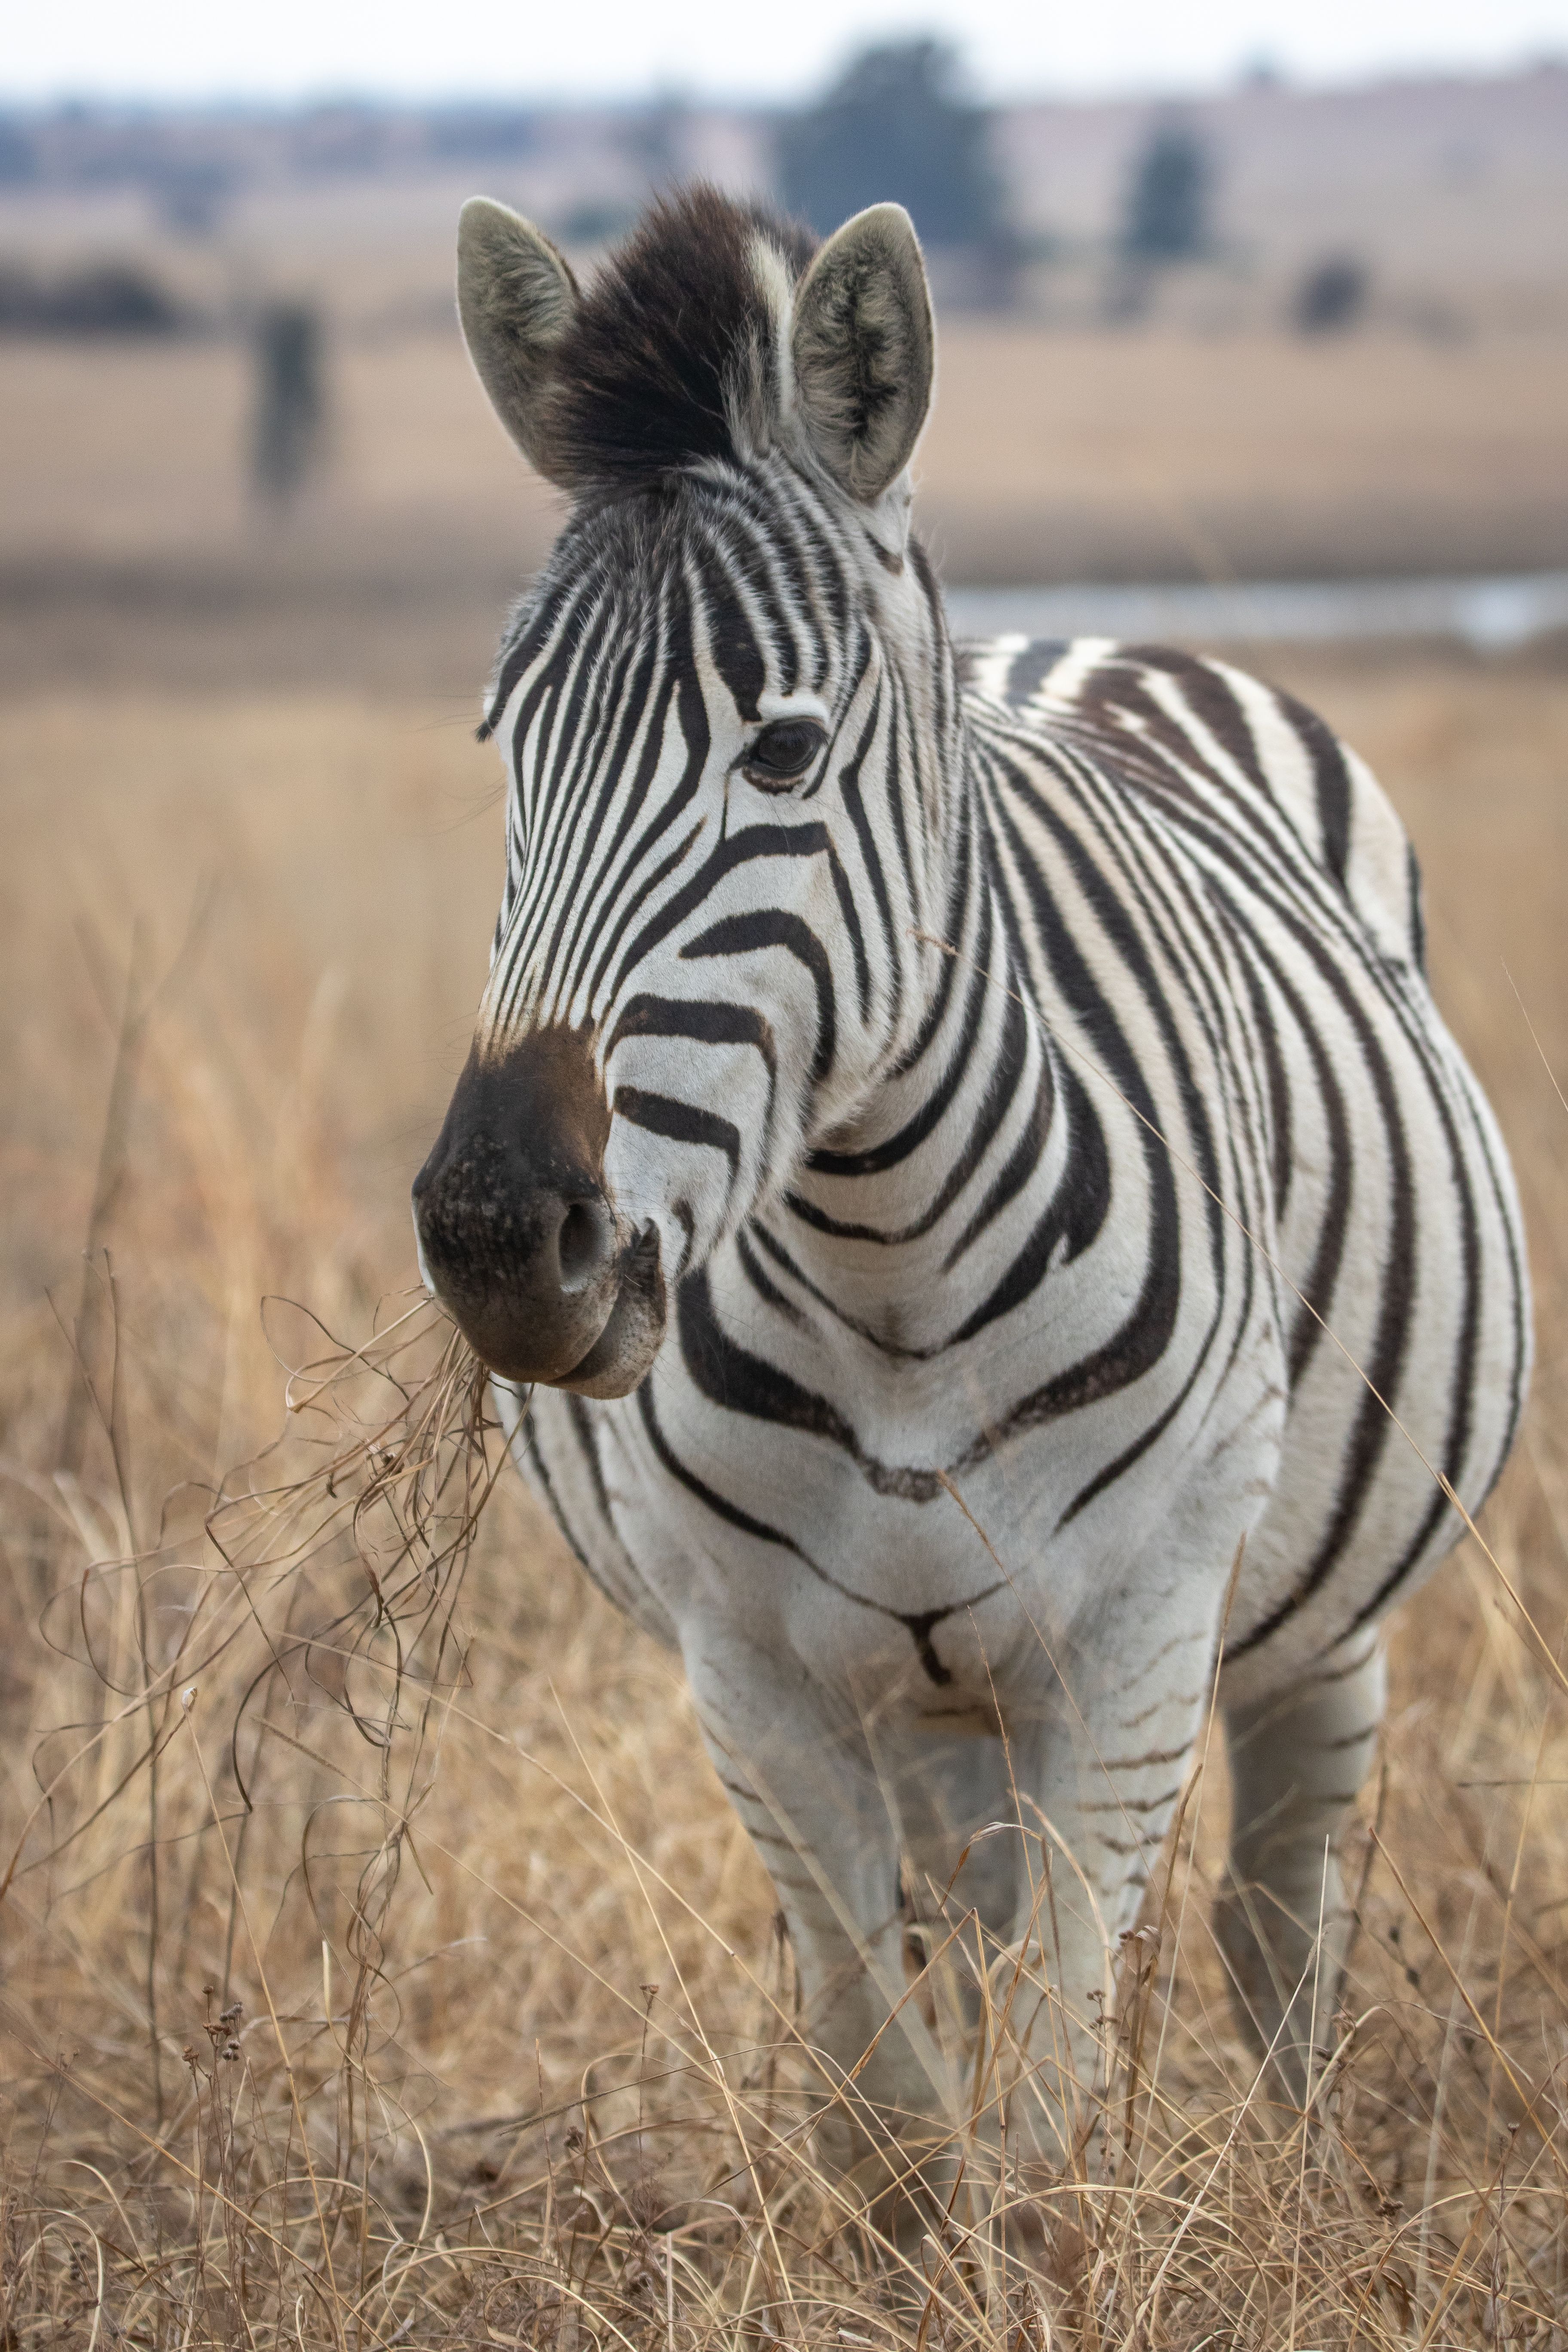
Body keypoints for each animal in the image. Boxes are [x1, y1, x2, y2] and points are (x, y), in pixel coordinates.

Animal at [412, 185, 1530, 2207]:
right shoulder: (750, 1666)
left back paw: (1299, 2161)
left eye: (781, 750)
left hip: (1320, 1617)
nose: (495, 1241)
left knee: (1280, 1917)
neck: (885, 1260)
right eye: (502, 746)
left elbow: (1047, 2097)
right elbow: (886, 2106)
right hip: (927, 1699)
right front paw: (920, 2230)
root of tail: (1081, 640)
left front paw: (1058, 2236)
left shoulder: (1138, 1633)